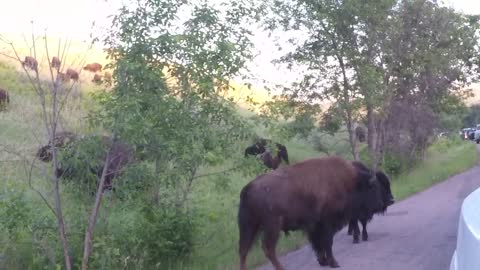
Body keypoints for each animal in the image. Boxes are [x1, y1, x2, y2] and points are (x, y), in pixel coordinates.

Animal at [237, 156, 390, 270]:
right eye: (374, 187)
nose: (380, 203)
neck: (350, 182)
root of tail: (248, 188)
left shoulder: (315, 226)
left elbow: (319, 244)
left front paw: (323, 261)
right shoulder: (327, 223)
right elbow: (327, 242)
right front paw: (334, 263)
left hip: (250, 227)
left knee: (243, 250)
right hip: (271, 227)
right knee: (267, 248)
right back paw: (281, 268)